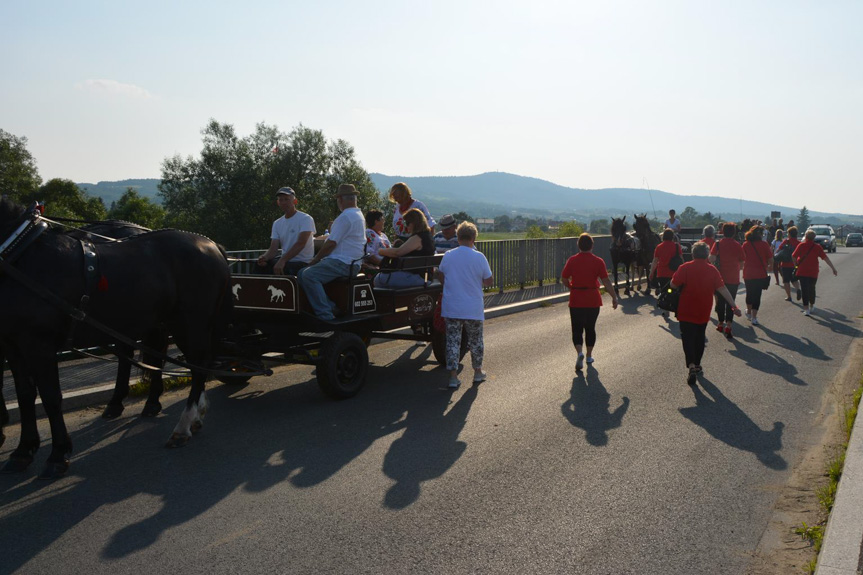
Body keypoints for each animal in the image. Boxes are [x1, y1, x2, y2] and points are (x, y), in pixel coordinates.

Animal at [0, 200, 233, 480]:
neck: (20, 253)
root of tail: (213, 245)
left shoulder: (39, 345)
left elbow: (50, 397)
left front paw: (57, 454)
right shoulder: (13, 345)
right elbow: (25, 395)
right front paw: (23, 451)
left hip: (189, 322)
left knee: (197, 365)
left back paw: (182, 424)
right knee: (195, 362)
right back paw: (192, 413)